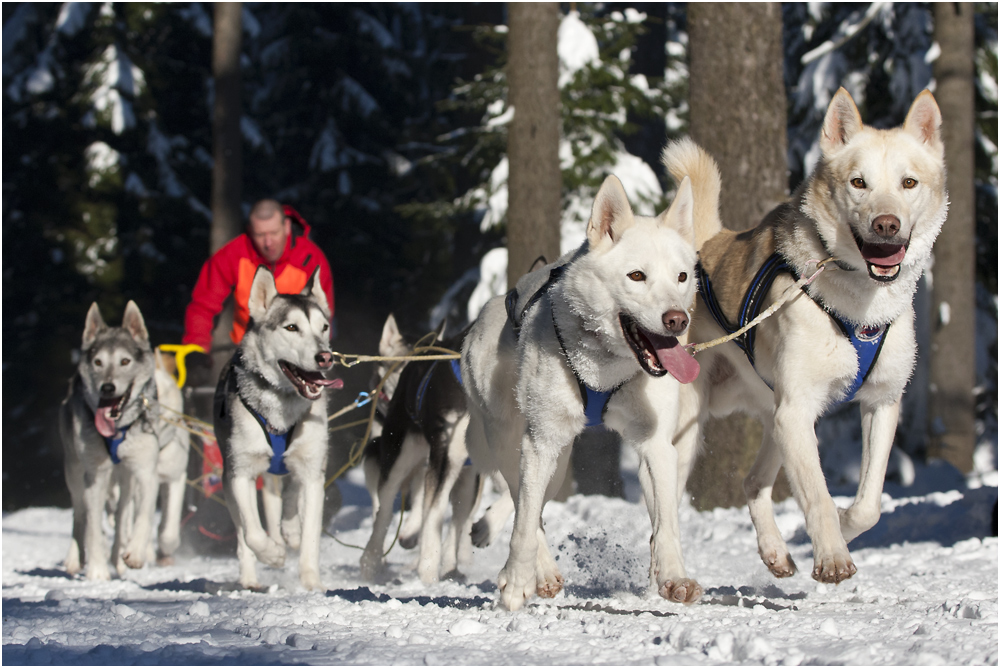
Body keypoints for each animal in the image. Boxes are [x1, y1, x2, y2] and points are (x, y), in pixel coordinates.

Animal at [61, 302, 191, 580]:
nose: (107, 387)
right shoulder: (96, 476)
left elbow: (147, 518)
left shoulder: (149, 473)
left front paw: (136, 554)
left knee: (123, 515)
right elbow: (93, 525)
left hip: (127, 478)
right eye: (98, 362)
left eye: (124, 361)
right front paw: (97, 570)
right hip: (75, 471)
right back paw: (76, 558)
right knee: (81, 513)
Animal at [215, 266, 344, 588]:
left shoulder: (313, 473)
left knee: (289, 493)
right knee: (243, 534)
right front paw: (271, 554)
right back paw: (250, 578)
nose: (326, 357)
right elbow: (252, 530)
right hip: (229, 479)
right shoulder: (239, 473)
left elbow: (310, 534)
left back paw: (290, 529)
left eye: (324, 327)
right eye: (291, 328)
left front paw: (311, 582)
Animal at [362, 320, 482, 580]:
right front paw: (428, 573)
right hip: (399, 459)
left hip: (466, 475)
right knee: (384, 512)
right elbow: (433, 514)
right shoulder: (446, 456)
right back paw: (371, 562)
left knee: (458, 517)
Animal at [464, 171, 708, 612]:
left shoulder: (657, 444)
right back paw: (536, 572)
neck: (606, 371)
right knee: (524, 506)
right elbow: (524, 523)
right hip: (518, 444)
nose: (677, 320)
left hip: (561, 464)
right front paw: (517, 582)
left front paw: (674, 577)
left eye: (682, 277)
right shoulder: (539, 443)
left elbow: (667, 522)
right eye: (637, 276)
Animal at [668, 90, 948, 584]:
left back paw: (775, 551)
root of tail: (703, 249)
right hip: (697, 428)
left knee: (752, 482)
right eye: (858, 182)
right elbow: (817, 493)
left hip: (773, 415)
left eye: (909, 183)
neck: (860, 307)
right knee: (664, 509)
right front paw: (833, 556)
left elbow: (869, 505)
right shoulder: (797, 413)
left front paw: (843, 525)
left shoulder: (881, 403)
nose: (887, 224)